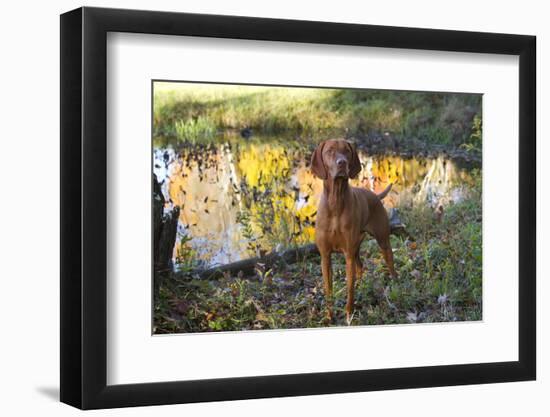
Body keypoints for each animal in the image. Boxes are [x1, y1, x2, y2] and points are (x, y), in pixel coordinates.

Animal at [310, 138, 396, 324]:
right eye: (330, 151)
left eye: (347, 151)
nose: (341, 162)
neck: (335, 202)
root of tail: (375, 196)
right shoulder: (325, 257)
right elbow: (328, 290)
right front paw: (329, 316)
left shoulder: (347, 255)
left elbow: (349, 290)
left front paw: (349, 315)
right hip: (357, 245)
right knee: (360, 266)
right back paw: (361, 285)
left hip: (382, 240)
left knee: (389, 261)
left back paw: (396, 282)